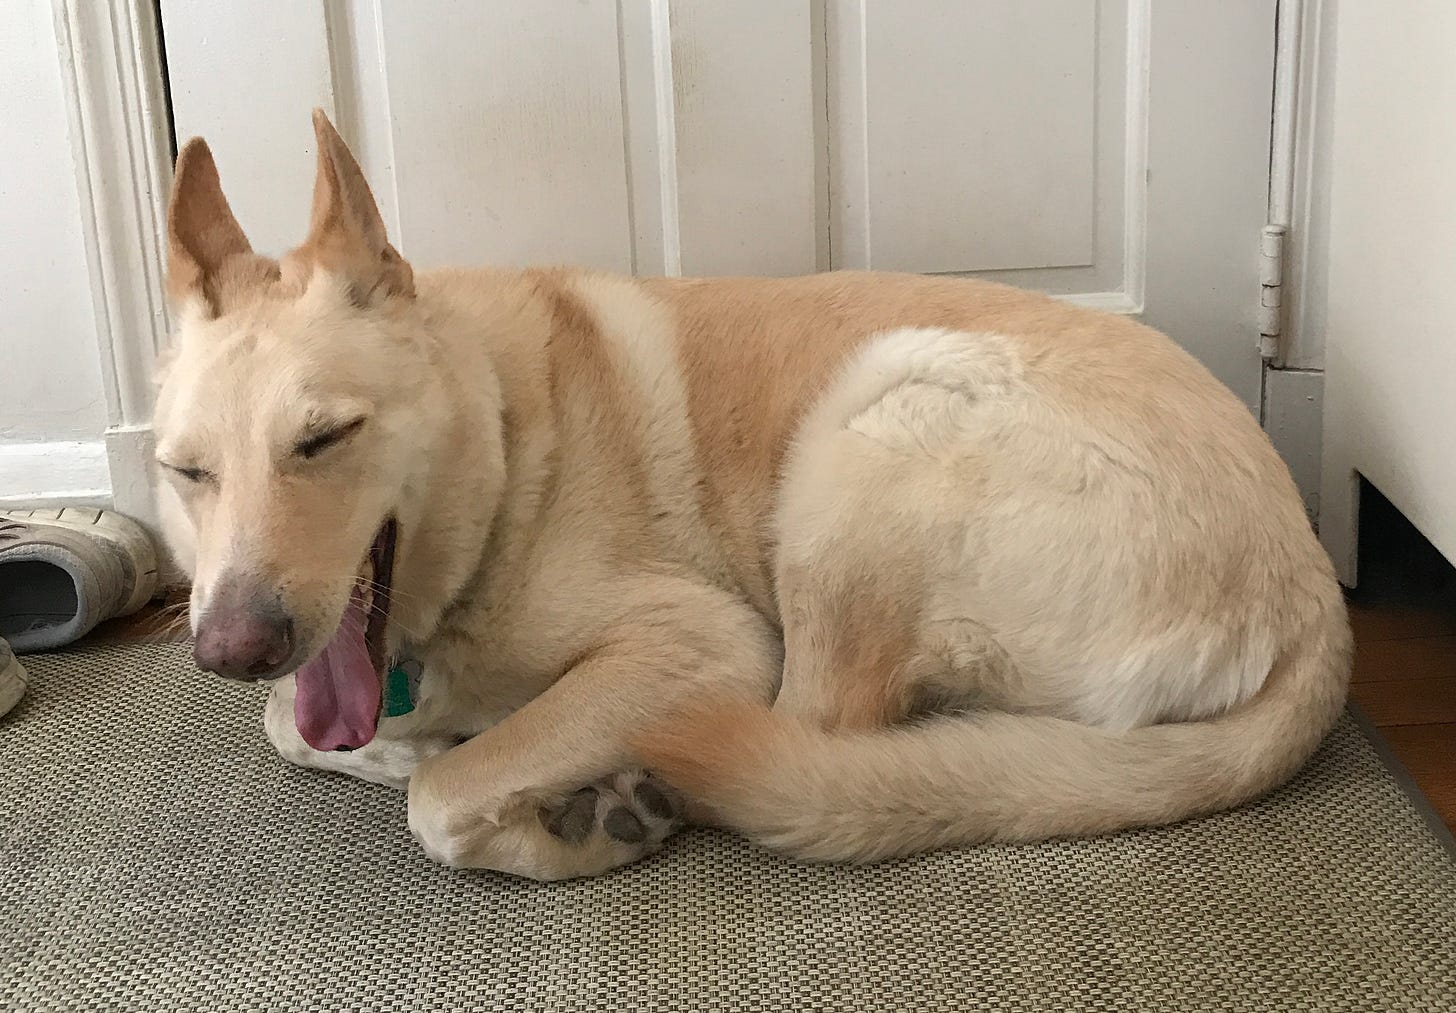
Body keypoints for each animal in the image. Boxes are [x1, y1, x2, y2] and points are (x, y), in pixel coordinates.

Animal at [153, 114, 1345, 884]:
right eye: (184, 471)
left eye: (325, 438)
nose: (228, 648)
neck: (497, 446)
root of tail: (1315, 601)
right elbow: (296, 725)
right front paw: (424, 745)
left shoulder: (701, 641)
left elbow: (438, 800)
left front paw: (556, 816)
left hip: (867, 434)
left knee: (816, 738)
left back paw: (649, 783)